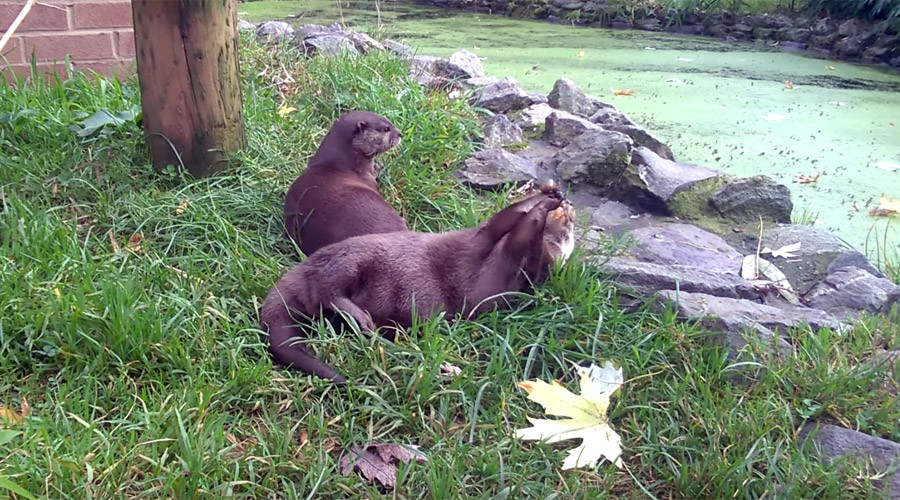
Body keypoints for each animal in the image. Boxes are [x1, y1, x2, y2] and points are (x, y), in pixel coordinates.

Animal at [260, 189, 565, 382]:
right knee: (328, 288)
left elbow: (520, 232)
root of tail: (301, 271)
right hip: (352, 259)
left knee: (327, 293)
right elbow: (504, 222)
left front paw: (543, 207)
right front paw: (546, 198)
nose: (567, 210)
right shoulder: (477, 245)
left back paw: (365, 324)